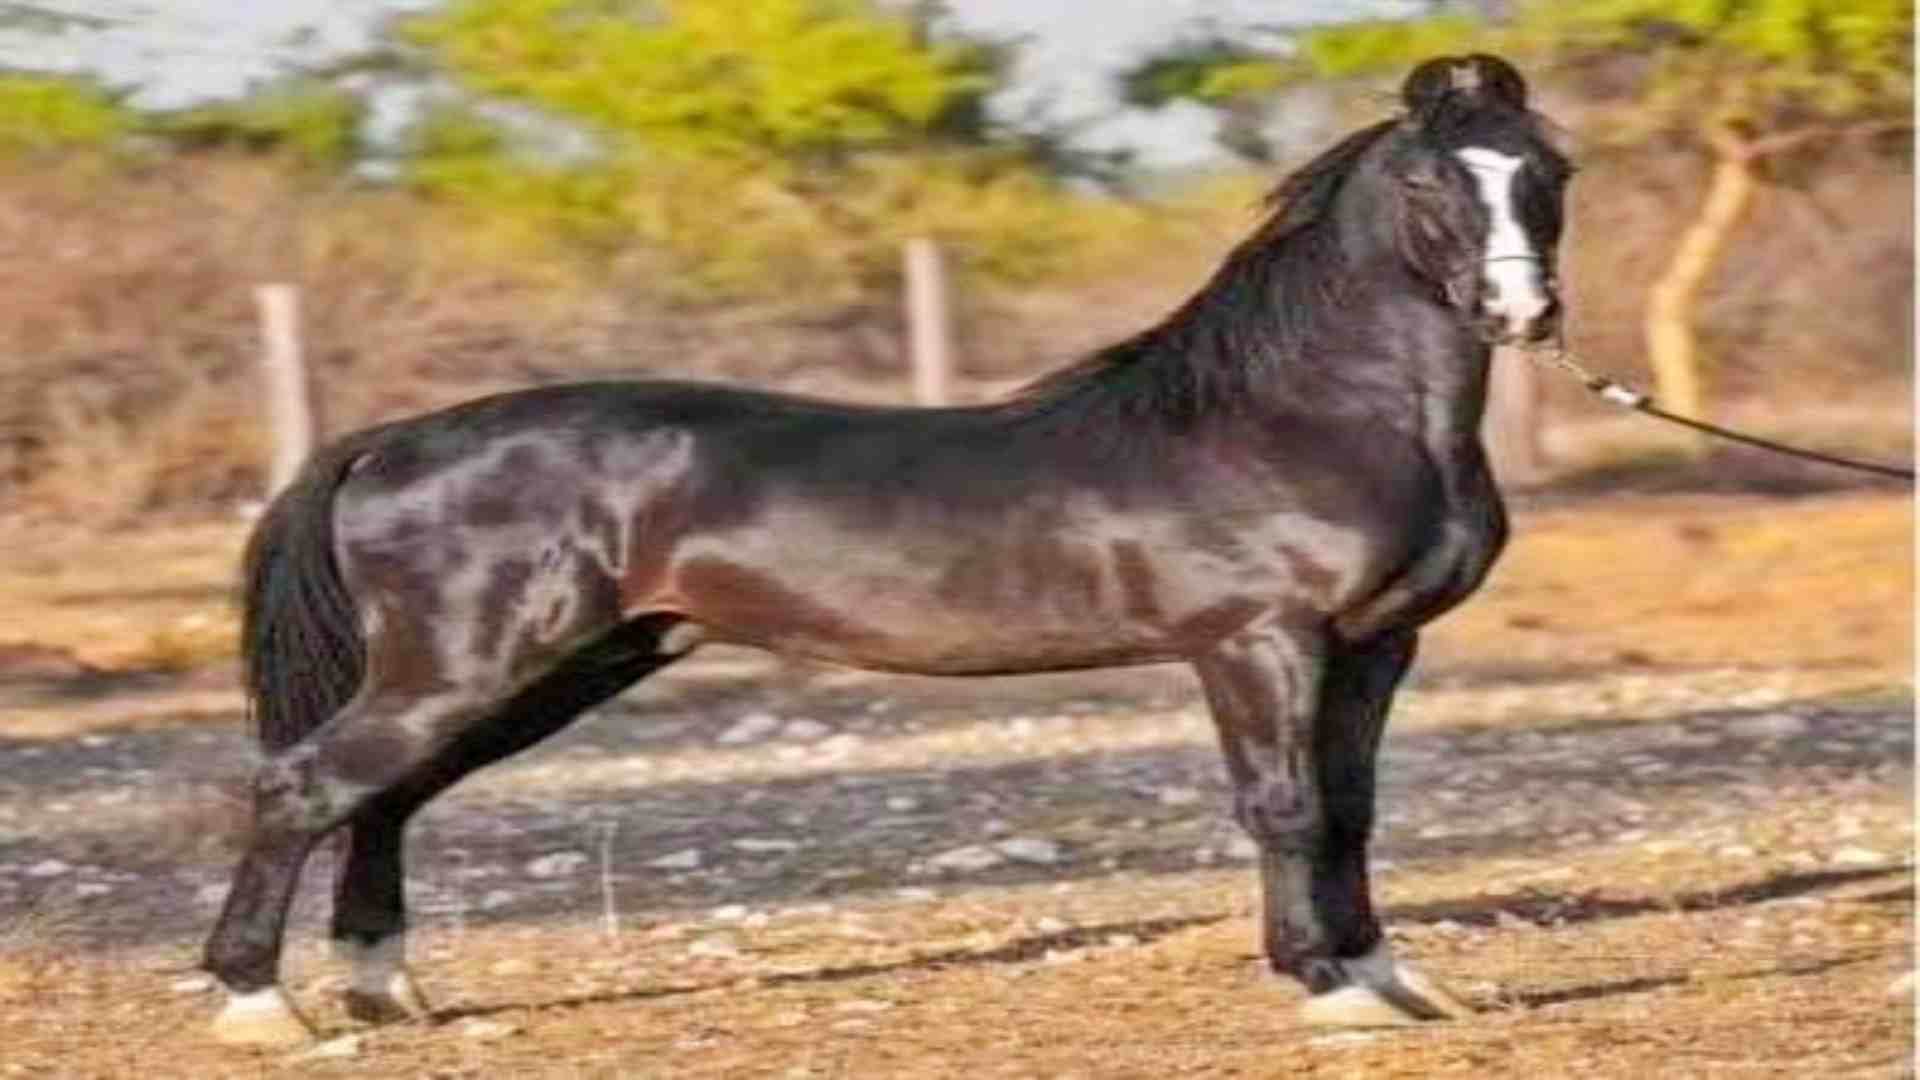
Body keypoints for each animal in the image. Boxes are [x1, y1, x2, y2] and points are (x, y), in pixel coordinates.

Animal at [203, 53, 1573, 1045]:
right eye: (1431, 186)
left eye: (1548, 168)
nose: (1523, 311)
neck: (1292, 418)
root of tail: (389, 440)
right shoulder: (1258, 644)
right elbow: (1288, 807)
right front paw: (1329, 989)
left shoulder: (1374, 649)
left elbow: (1352, 810)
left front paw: (1394, 980)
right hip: (470, 666)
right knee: (305, 787)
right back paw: (261, 1006)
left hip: (557, 667)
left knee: (385, 797)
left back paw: (381, 989)